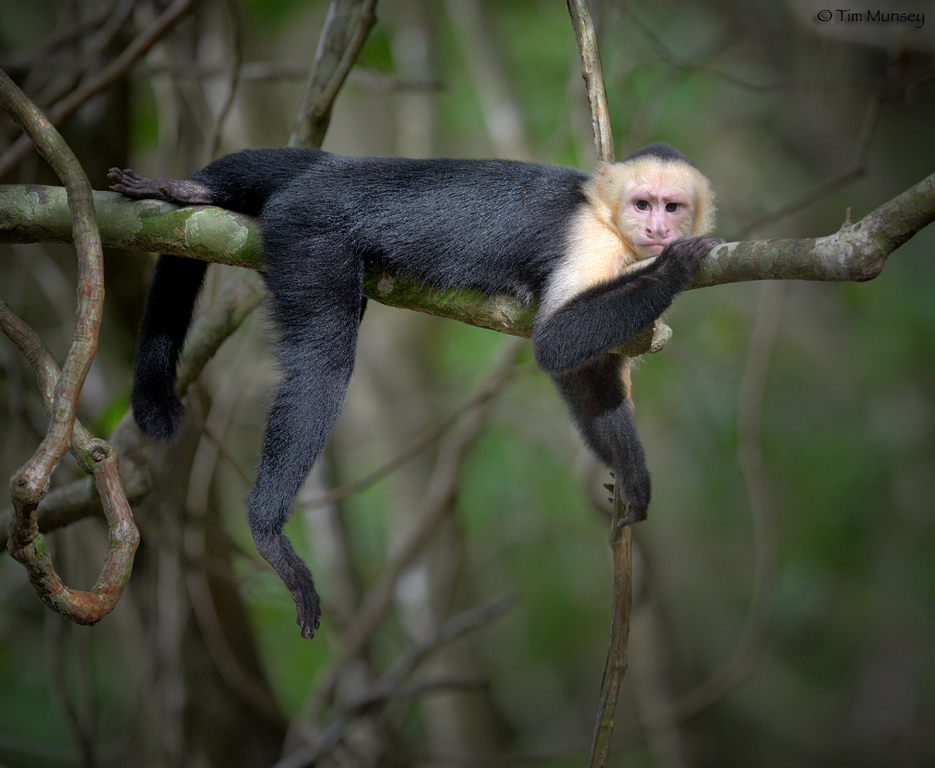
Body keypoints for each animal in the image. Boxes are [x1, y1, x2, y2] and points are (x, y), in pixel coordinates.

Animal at [109, 142, 724, 636]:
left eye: (673, 206)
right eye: (643, 204)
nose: (659, 230)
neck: (607, 218)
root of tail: (327, 176)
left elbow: (581, 373)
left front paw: (632, 474)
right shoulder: (594, 244)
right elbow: (555, 342)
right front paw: (674, 269)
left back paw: (188, 192)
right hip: (311, 227)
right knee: (323, 363)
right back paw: (268, 529)